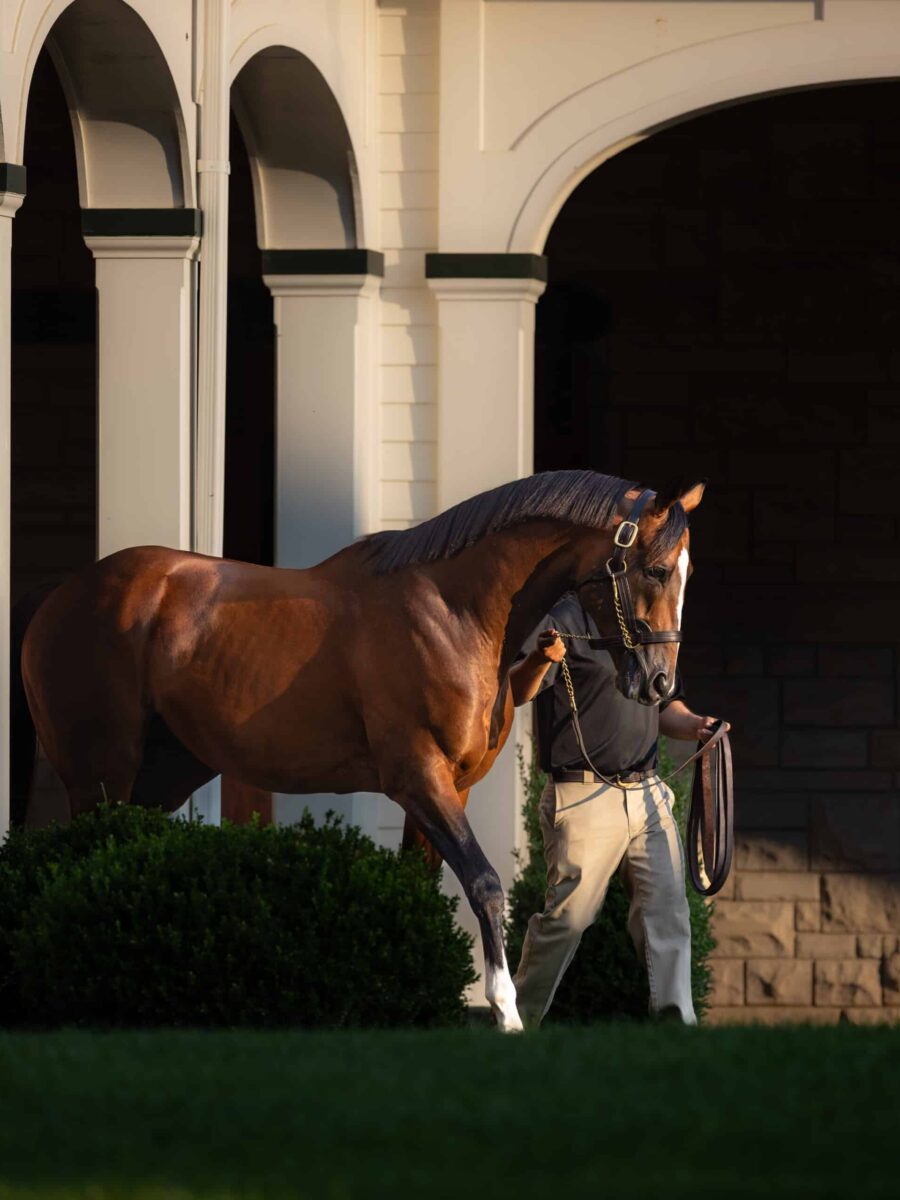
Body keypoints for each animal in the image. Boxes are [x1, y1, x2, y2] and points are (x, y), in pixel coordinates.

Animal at [15, 468, 705, 1032]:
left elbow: (421, 884)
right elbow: (484, 883)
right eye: (655, 570)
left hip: (157, 781)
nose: (660, 684)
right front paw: (505, 1010)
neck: (452, 611)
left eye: (685, 574)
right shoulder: (417, 778)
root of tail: (57, 598)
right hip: (101, 777)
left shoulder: (451, 789)